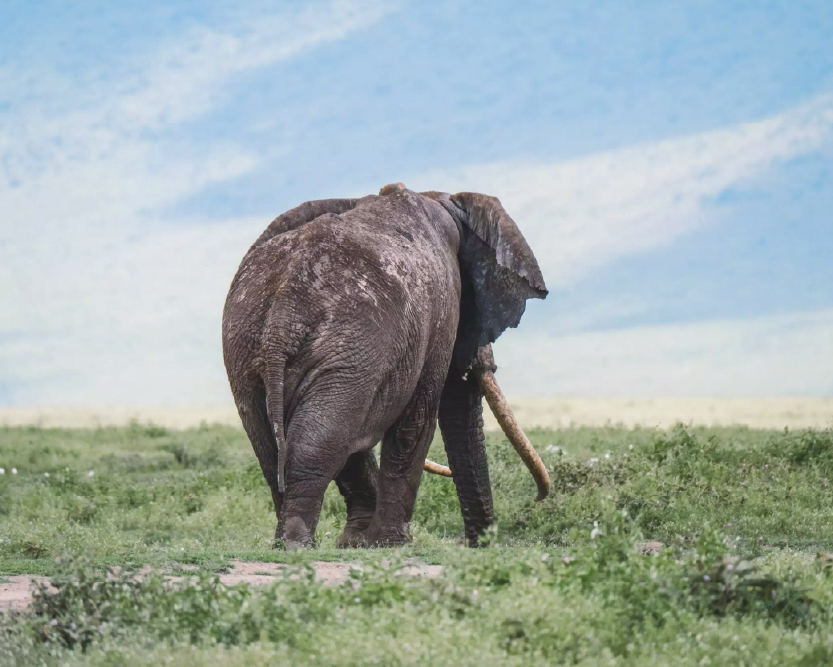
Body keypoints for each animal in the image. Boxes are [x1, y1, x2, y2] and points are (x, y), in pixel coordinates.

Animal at [222, 182, 549, 549]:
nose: (475, 543)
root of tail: (285, 306)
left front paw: (355, 543)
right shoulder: (439, 313)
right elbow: (416, 422)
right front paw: (393, 543)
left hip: (247, 344)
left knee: (275, 444)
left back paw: (284, 543)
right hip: (350, 343)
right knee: (322, 437)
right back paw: (297, 545)